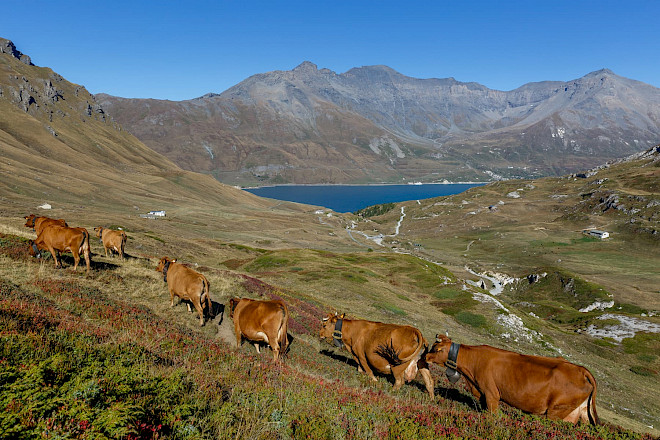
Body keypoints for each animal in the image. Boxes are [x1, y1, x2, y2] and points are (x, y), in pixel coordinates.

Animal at [426, 334, 599, 424]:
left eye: (436, 349)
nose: (425, 356)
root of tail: (580, 369)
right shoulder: (482, 394)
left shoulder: (491, 394)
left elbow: (492, 415)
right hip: (579, 412)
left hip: (556, 412)